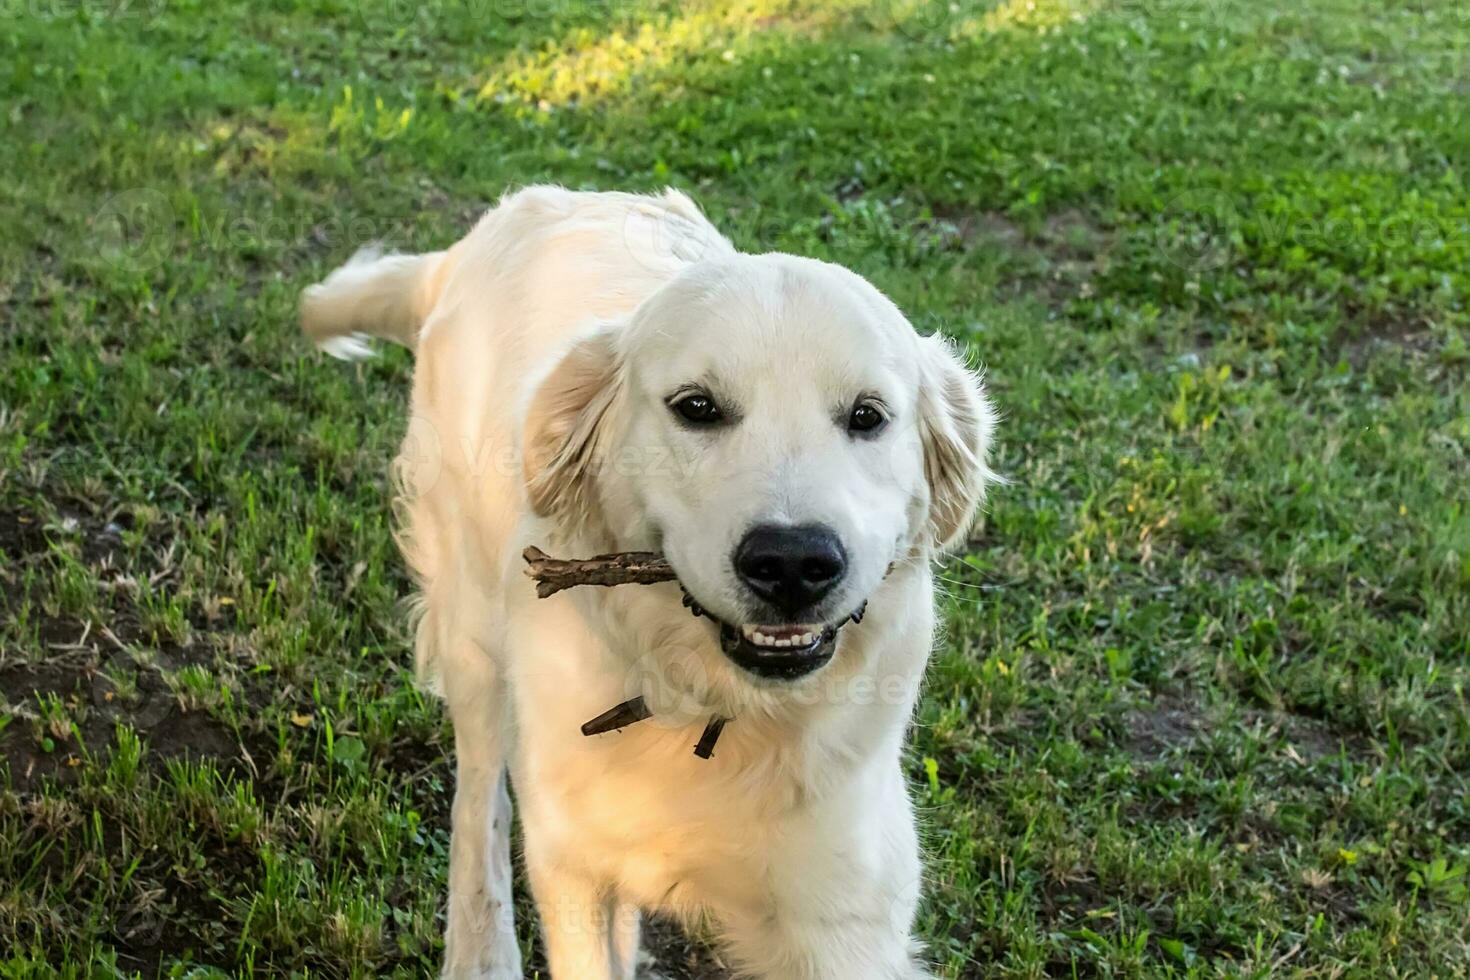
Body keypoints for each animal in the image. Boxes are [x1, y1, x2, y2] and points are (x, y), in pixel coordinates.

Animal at [307, 188, 999, 975]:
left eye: (867, 416)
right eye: (696, 407)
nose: (793, 562)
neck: (708, 704)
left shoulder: (843, 916)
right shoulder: (571, 872)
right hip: (472, 631)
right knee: (478, 802)